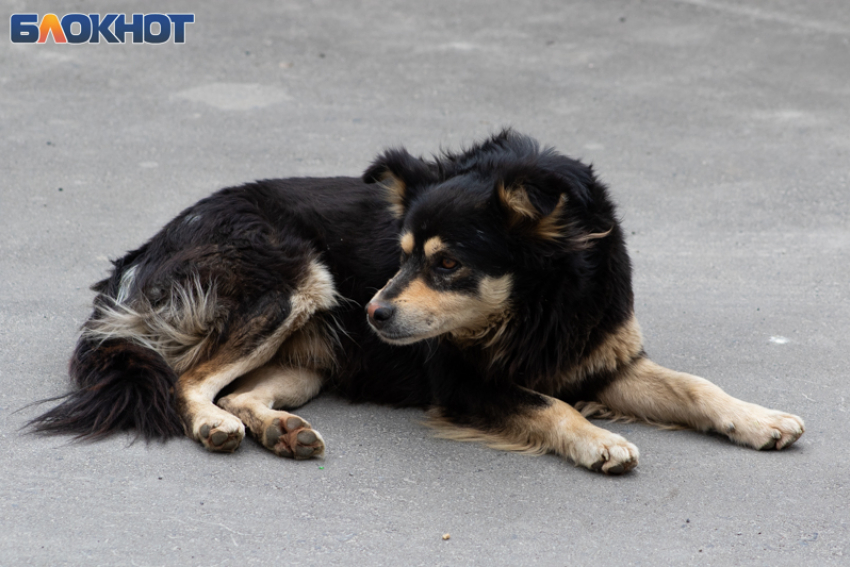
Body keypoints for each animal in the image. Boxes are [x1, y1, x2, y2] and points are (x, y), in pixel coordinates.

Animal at [31, 131, 800, 472]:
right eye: (400, 254)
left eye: (447, 262)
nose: (373, 312)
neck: (539, 305)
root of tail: (144, 251)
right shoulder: (463, 383)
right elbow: (547, 404)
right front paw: (598, 438)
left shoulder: (605, 357)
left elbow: (696, 386)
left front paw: (758, 419)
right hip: (291, 280)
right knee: (190, 380)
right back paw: (215, 427)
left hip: (315, 352)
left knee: (245, 391)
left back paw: (282, 431)